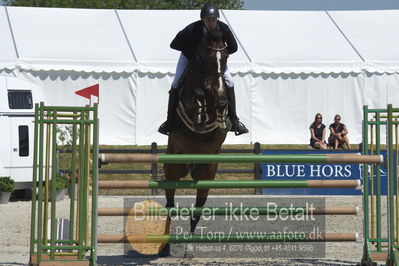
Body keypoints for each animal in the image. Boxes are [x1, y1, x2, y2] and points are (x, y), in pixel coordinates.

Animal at [163, 29, 231, 235]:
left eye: (225, 56)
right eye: (207, 57)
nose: (217, 86)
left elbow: (222, 103)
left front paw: (221, 115)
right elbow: (198, 95)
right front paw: (201, 111)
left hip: (206, 171)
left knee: (200, 203)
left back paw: (192, 229)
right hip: (173, 167)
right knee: (170, 199)